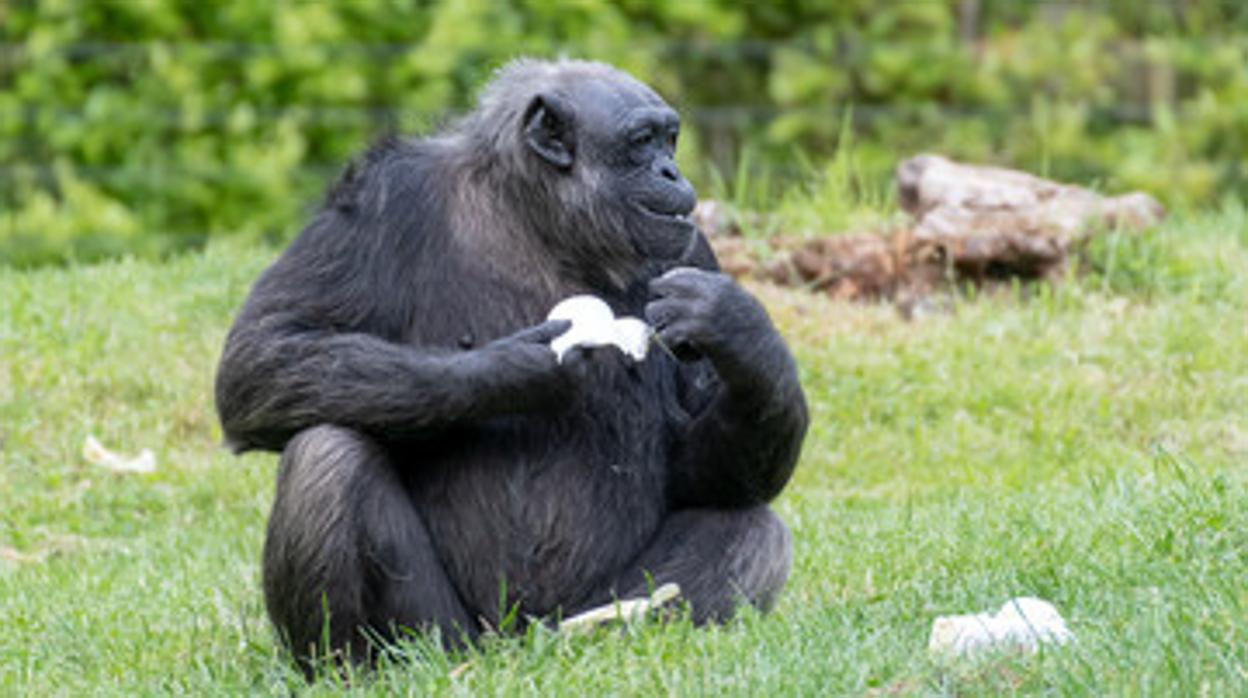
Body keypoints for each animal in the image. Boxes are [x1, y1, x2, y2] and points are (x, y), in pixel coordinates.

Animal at [214, 57, 808, 669]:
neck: (538, 219)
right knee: (327, 457)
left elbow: (702, 470)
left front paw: (736, 325)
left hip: (567, 615)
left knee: (752, 531)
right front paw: (523, 369)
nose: (670, 170)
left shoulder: (694, 253)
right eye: (642, 141)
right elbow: (264, 352)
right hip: (444, 631)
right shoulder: (377, 201)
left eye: (670, 138)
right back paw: (355, 669)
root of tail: (514, 645)